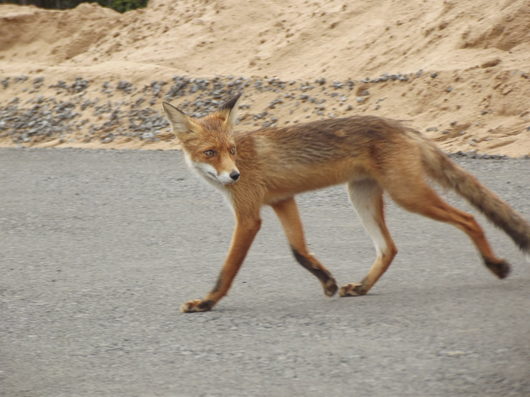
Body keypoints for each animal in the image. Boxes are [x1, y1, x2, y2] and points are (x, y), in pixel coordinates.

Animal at [162, 93, 528, 312]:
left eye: (232, 150)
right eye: (210, 152)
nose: (234, 176)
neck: (245, 159)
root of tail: (402, 126)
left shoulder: (249, 217)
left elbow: (227, 269)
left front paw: (207, 302)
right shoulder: (283, 201)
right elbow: (299, 252)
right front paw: (327, 281)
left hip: (408, 195)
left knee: (470, 219)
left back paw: (495, 265)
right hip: (361, 197)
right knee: (389, 248)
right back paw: (362, 287)